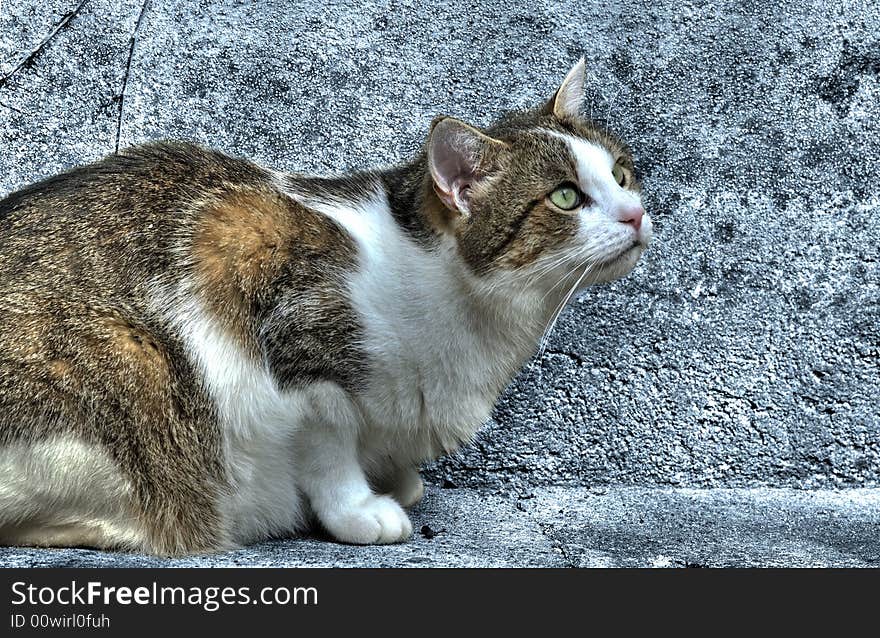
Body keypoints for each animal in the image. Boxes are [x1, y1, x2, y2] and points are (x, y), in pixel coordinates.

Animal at [0, 61, 652, 560]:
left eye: (622, 174)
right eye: (566, 196)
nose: (636, 214)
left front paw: (398, 479)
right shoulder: (296, 346)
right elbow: (328, 446)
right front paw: (359, 510)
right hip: (133, 367)